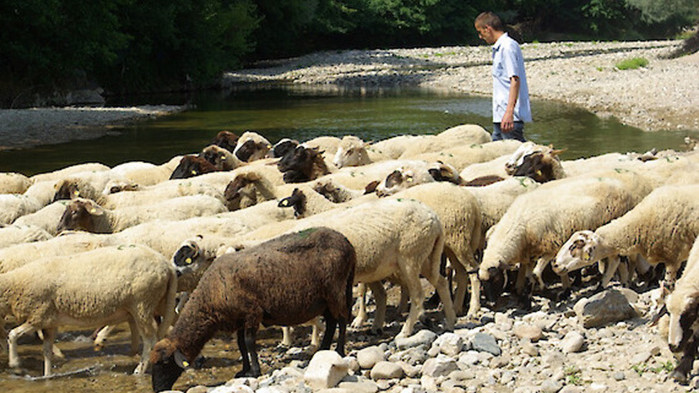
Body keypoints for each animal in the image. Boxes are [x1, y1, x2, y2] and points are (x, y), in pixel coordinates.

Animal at [0, 243, 179, 376]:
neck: (14, 285)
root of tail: (166, 265)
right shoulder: (49, 322)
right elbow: (46, 352)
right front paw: (47, 376)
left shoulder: (39, 315)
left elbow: (12, 334)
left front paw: (15, 364)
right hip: (158, 302)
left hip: (142, 304)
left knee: (150, 340)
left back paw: (139, 370)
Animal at [148, 227, 356, 388]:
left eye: (164, 363)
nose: (157, 389)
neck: (211, 295)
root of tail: (346, 242)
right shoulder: (238, 318)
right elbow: (241, 345)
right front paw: (244, 370)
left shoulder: (252, 313)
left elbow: (249, 342)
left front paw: (254, 371)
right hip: (325, 298)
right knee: (331, 323)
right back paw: (323, 350)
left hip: (336, 289)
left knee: (342, 319)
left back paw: (339, 350)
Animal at [478, 169, 652, 304]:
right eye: (483, 284)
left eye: (496, 279)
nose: (492, 303)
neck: (520, 225)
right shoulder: (531, 252)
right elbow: (530, 274)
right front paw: (527, 297)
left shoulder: (551, 246)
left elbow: (538, 273)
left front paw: (550, 290)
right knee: (619, 259)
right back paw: (623, 283)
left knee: (615, 260)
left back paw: (604, 286)